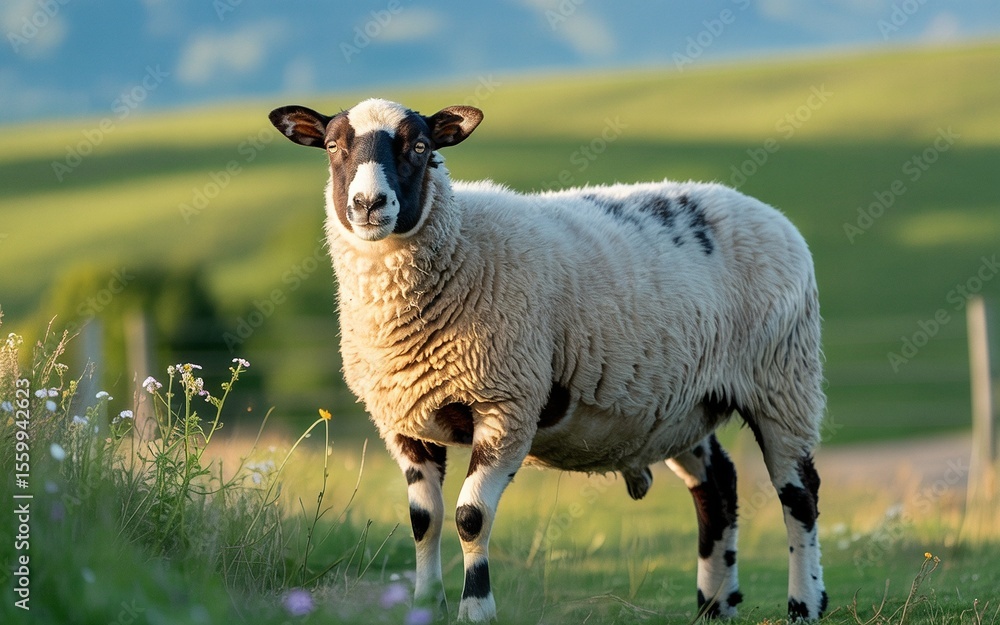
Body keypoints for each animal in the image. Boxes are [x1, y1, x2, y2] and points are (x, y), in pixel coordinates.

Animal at [268, 97, 827, 622]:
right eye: (333, 147)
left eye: (421, 147)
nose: (368, 204)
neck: (462, 245)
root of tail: (765, 211)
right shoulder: (403, 418)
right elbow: (423, 521)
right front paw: (425, 604)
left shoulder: (507, 405)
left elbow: (470, 516)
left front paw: (477, 609)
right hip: (680, 404)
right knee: (718, 485)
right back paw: (714, 604)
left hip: (783, 379)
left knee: (798, 492)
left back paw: (804, 603)